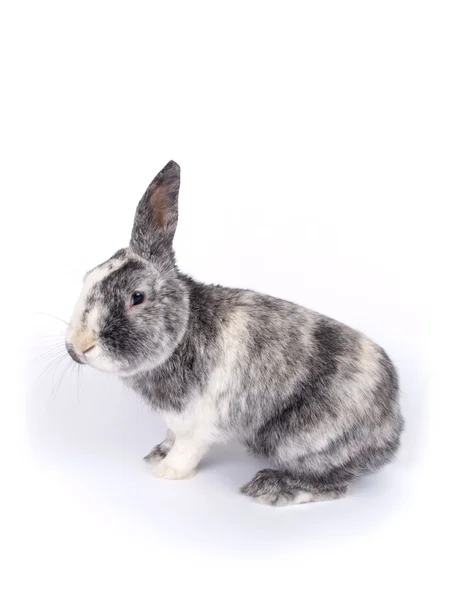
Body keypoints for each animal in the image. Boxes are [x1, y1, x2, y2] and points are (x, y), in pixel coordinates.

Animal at [66, 161, 404, 506]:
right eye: (87, 278)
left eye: (137, 297)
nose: (78, 347)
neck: (184, 330)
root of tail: (391, 427)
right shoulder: (178, 423)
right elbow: (171, 438)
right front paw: (157, 454)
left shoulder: (199, 424)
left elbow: (187, 450)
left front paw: (168, 471)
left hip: (299, 441)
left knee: (333, 483)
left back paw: (271, 487)